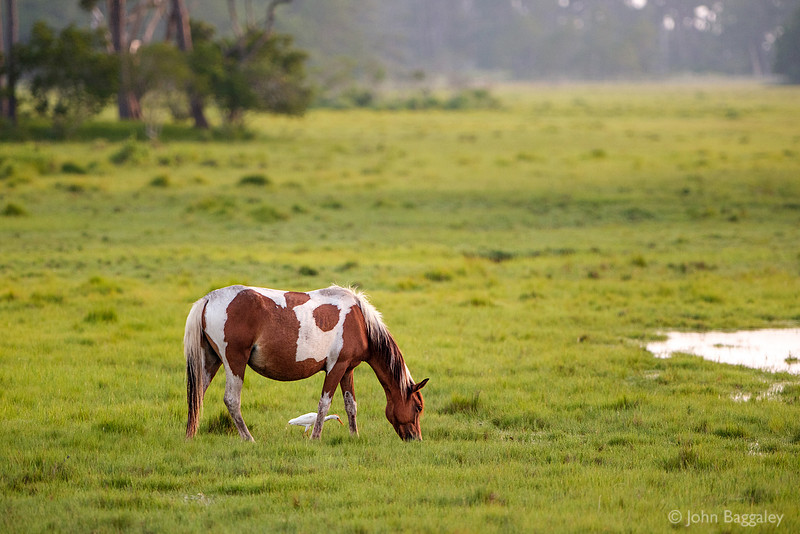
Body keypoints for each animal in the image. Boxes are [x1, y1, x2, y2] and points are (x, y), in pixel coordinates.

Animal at [184, 284, 429, 441]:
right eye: (418, 407)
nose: (416, 439)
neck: (360, 321)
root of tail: (209, 298)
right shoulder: (336, 367)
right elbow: (324, 404)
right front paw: (316, 437)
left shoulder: (347, 369)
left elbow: (351, 405)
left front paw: (354, 436)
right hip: (234, 362)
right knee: (231, 400)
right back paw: (248, 438)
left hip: (211, 362)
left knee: (197, 396)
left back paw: (190, 436)